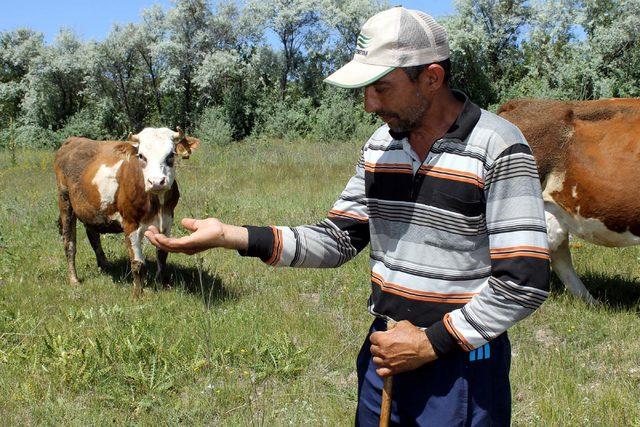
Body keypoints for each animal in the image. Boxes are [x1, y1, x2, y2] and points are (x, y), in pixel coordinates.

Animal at [53, 128, 199, 298]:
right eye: (141, 156)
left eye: (171, 155)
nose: (156, 182)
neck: (156, 202)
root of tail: (73, 140)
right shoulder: (130, 224)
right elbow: (137, 263)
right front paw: (137, 295)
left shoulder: (167, 220)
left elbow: (163, 254)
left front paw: (161, 285)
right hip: (65, 201)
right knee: (69, 243)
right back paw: (74, 279)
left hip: (90, 209)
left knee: (93, 236)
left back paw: (104, 266)